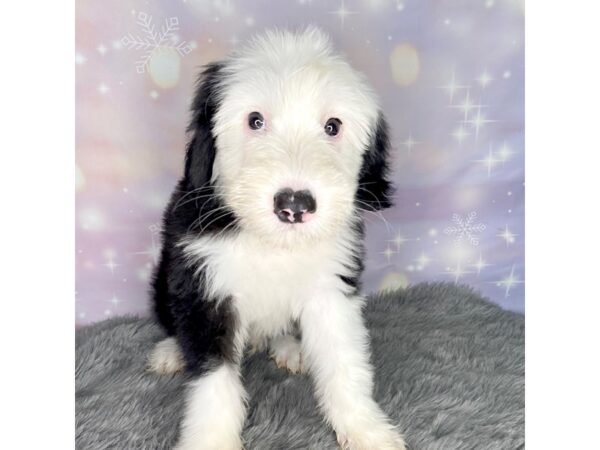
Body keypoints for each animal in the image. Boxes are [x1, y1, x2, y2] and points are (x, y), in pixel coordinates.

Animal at [148, 26, 406, 448]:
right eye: (255, 120)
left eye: (332, 126)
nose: (294, 205)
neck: (273, 243)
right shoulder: (206, 286)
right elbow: (213, 380)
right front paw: (212, 439)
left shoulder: (332, 287)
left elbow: (344, 362)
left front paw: (365, 429)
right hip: (165, 278)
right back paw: (171, 352)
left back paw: (289, 348)